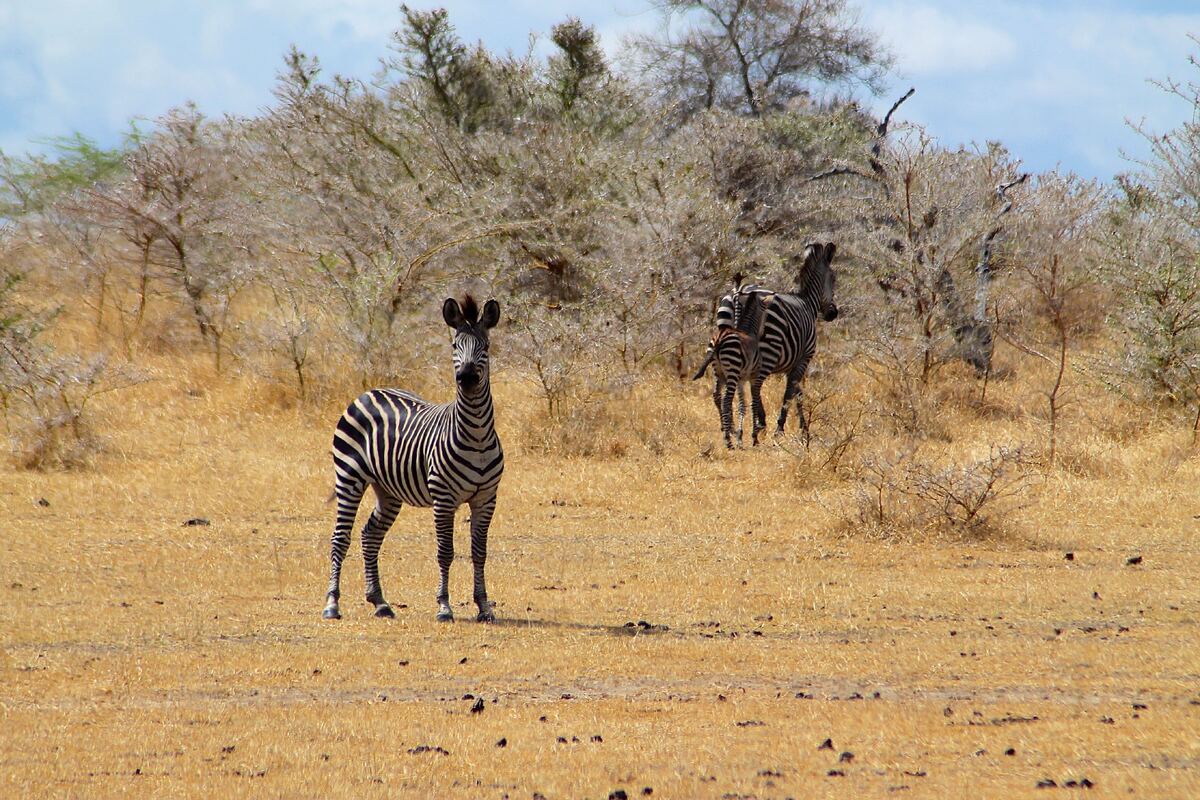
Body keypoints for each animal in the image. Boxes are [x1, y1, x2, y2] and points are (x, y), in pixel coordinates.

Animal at [322, 295, 504, 623]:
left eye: (485, 346)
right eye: (454, 345)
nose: (466, 378)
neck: (477, 437)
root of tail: (370, 391)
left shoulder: (486, 498)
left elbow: (479, 552)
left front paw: (484, 607)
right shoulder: (444, 498)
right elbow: (445, 552)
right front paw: (444, 607)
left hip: (388, 491)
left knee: (370, 535)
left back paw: (380, 602)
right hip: (349, 477)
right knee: (340, 538)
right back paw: (332, 604)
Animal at [709, 283, 775, 448]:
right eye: (766, 315)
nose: (764, 333)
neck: (747, 330)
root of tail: (719, 339)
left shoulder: (741, 380)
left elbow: (741, 404)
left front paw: (739, 435)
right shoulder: (753, 377)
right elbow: (753, 403)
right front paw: (754, 437)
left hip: (718, 371)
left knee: (718, 395)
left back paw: (727, 431)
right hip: (732, 371)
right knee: (726, 400)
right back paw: (728, 440)